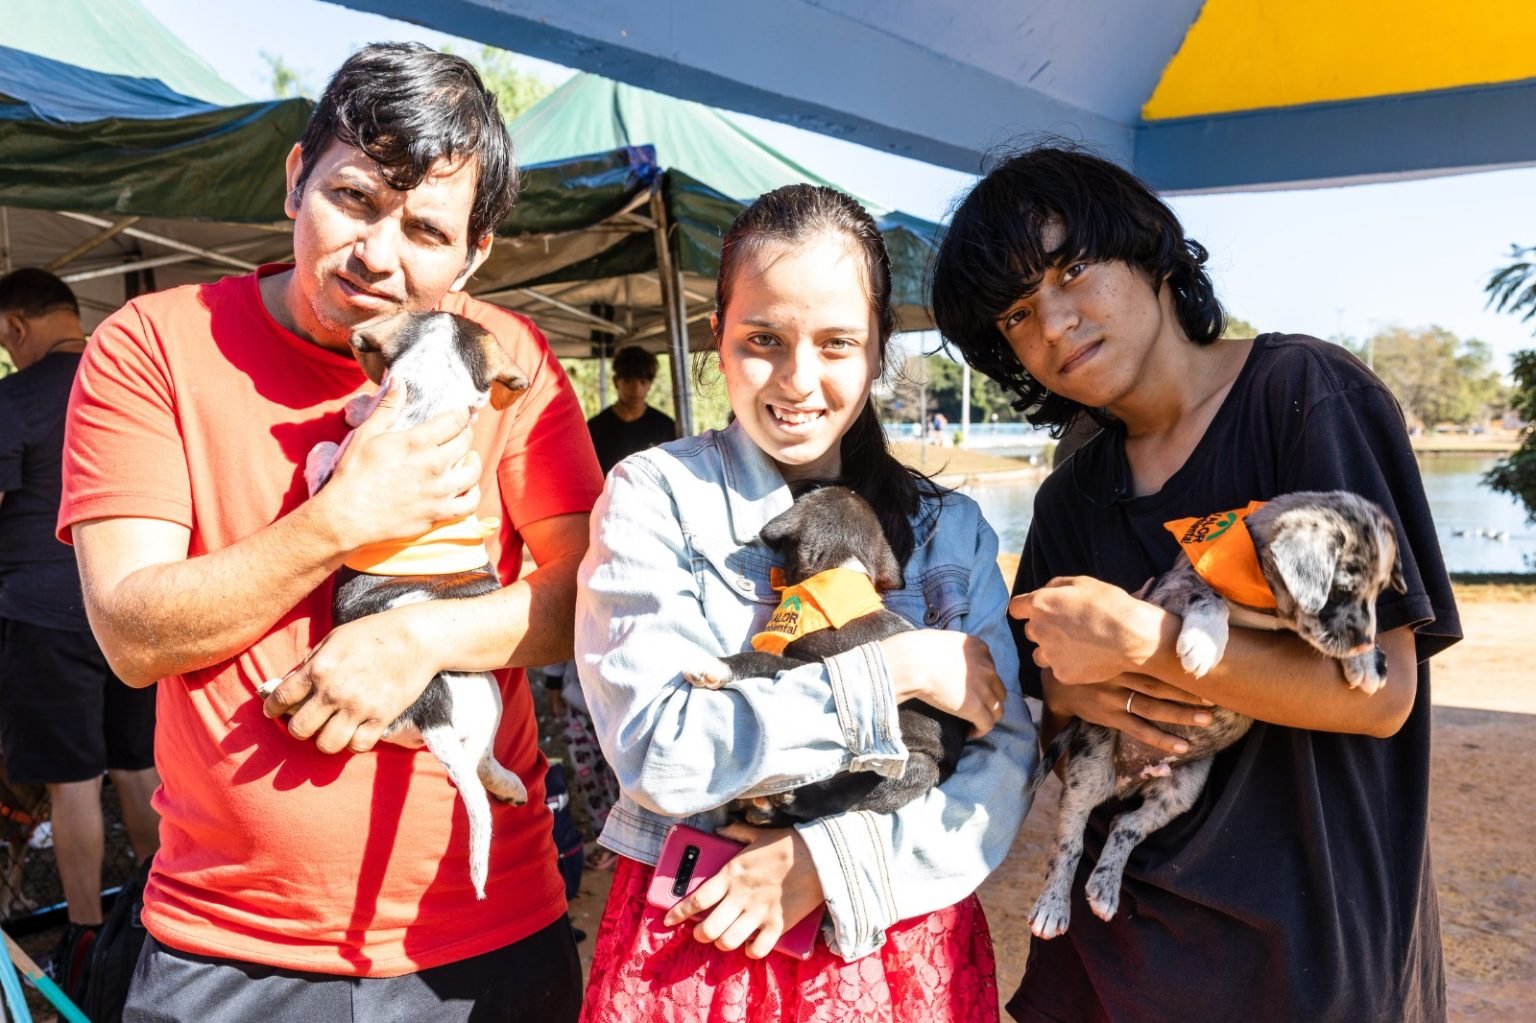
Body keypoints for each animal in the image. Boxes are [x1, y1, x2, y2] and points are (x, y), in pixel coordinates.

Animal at [261, 308, 531, 890]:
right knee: (483, 759)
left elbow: (323, 455)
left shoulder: (336, 476)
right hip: (487, 695)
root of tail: (435, 711)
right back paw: (509, 784)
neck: (434, 394)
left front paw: (346, 420)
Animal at [681, 482, 964, 823]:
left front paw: (716, 667)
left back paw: (782, 802)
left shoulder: (813, 664)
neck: (839, 571)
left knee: (841, 797)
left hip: (914, 764)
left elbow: (764, 659)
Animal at [1026, 491, 1406, 933]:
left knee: (1125, 825)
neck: (1264, 601)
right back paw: (1053, 906)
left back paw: (1105, 888)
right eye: (1343, 588)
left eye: (1379, 591)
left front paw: (1367, 661)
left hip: (1181, 789)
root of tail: (1128, 779)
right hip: (1089, 769)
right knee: (1068, 839)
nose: (1363, 643)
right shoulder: (1170, 590)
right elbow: (1208, 597)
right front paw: (1205, 641)